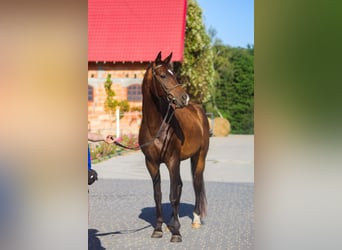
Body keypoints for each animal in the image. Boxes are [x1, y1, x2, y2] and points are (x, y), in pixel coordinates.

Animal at [138, 51, 208, 242]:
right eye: (162, 75)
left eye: (174, 74)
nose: (184, 98)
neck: (157, 127)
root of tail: (198, 110)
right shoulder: (152, 163)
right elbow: (159, 195)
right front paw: (158, 229)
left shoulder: (172, 161)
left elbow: (172, 194)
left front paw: (176, 233)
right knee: (180, 185)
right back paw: (171, 221)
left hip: (199, 157)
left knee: (196, 183)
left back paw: (195, 219)